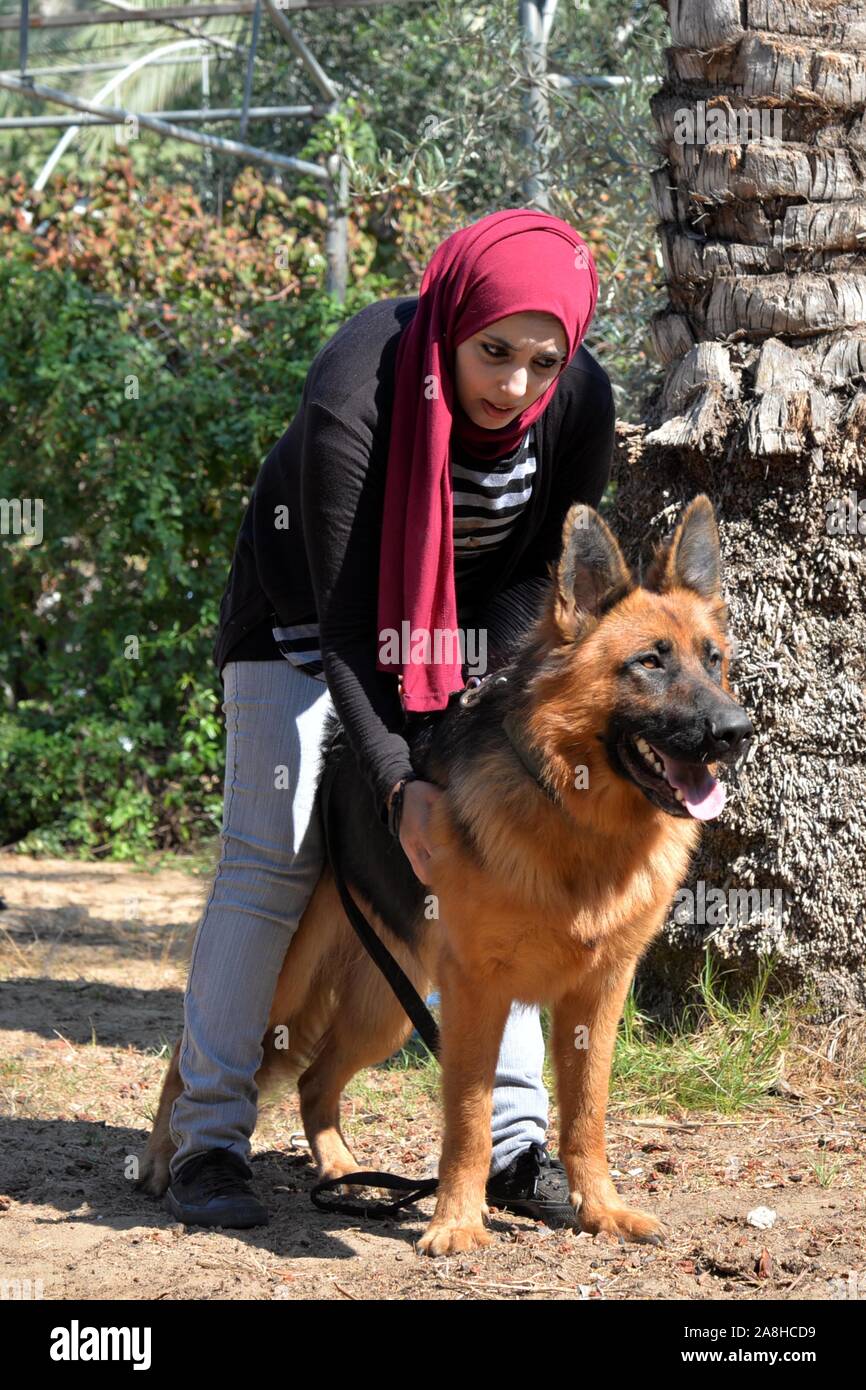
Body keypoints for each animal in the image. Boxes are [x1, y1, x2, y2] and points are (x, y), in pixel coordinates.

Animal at [140, 494, 750, 1256]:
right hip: (280, 980)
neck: (577, 822)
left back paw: (341, 1169)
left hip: (386, 1010)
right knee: (192, 1053)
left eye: (713, 660)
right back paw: (170, 1160)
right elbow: (468, 1118)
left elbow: (586, 1116)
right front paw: (457, 1220)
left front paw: (600, 1208)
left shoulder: (596, 999)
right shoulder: (476, 996)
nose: (738, 732)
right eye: (648, 663)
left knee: (316, 1081)